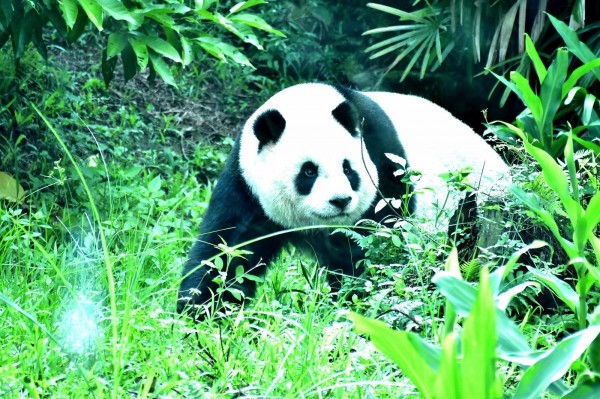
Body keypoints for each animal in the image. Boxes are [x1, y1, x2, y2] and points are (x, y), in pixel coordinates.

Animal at [176, 83, 508, 316]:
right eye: (308, 171)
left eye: (348, 168)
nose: (340, 201)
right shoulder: (247, 186)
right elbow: (228, 252)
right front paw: (201, 315)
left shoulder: (383, 163)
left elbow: (375, 251)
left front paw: (357, 305)